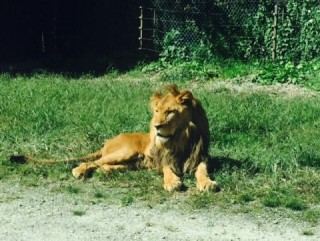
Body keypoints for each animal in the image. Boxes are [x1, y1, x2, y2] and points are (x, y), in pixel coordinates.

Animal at [11, 84, 219, 192]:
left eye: (170, 112)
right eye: (156, 111)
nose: (156, 126)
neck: (181, 138)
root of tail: (107, 141)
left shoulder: (199, 157)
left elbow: (201, 170)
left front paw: (207, 183)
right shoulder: (164, 158)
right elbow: (168, 170)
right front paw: (172, 182)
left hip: (132, 161)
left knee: (103, 165)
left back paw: (108, 171)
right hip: (126, 151)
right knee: (92, 162)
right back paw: (79, 171)